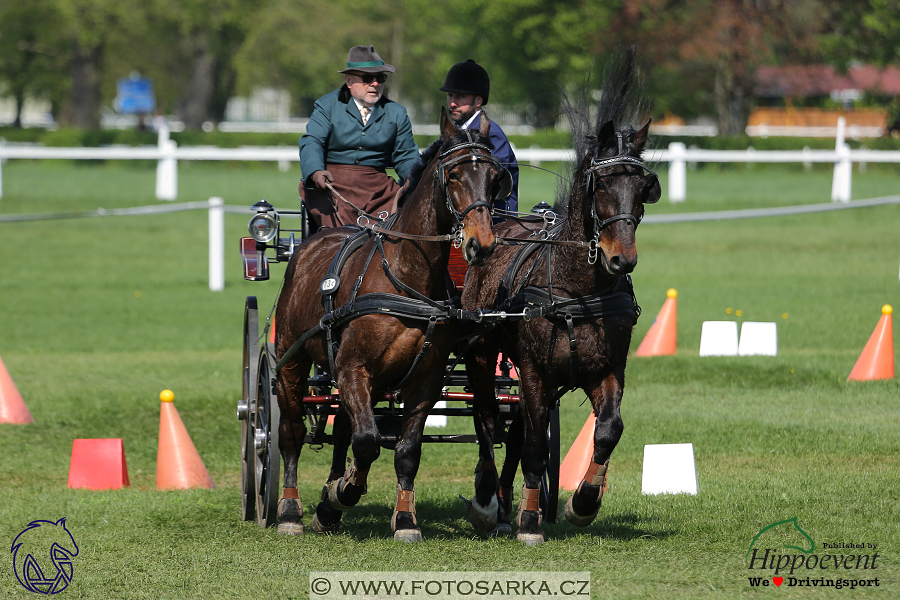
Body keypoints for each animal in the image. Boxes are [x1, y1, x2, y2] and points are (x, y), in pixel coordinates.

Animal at [270, 109, 502, 544]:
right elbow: (367, 442)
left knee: (345, 423)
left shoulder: (424, 379)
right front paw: (342, 494)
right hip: (290, 360)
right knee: (291, 432)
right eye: (454, 175)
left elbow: (406, 450)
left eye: (496, 177)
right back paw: (291, 510)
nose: (482, 244)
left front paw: (405, 519)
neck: (406, 277)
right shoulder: (351, 368)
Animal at [460, 47, 656, 544]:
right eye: (601, 185)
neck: (577, 291)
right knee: (487, 420)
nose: (622, 259)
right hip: (482, 352)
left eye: (645, 187)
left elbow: (607, 430)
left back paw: (504, 504)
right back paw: (488, 502)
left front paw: (583, 502)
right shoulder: (533, 370)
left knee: (512, 431)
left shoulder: (608, 368)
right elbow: (532, 444)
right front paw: (530, 520)